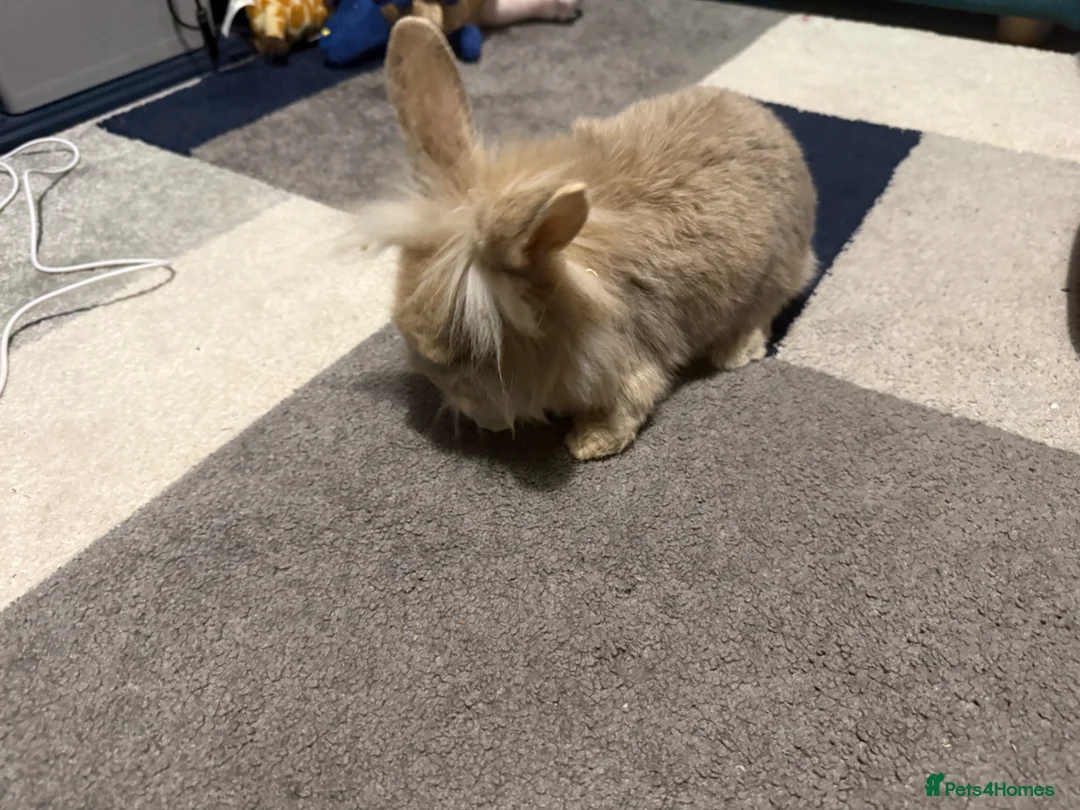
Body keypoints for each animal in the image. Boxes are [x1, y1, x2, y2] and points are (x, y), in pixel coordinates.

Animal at [358, 16, 817, 461]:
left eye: (470, 354)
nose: (469, 412)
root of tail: (780, 131)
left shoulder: (632, 362)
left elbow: (627, 405)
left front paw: (588, 444)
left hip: (773, 275)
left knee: (761, 313)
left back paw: (734, 353)